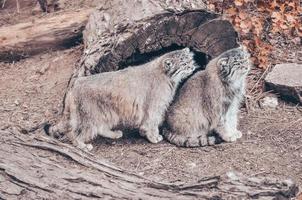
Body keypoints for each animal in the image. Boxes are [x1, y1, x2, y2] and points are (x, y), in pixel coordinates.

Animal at [46, 48, 198, 150]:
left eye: (190, 60)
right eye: (184, 64)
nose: (193, 66)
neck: (166, 76)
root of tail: (76, 84)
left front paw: (144, 134)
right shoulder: (154, 109)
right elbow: (152, 124)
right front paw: (154, 137)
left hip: (106, 114)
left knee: (100, 127)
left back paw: (114, 134)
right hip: (89, 118)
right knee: (74, 134)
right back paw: (82, 146)